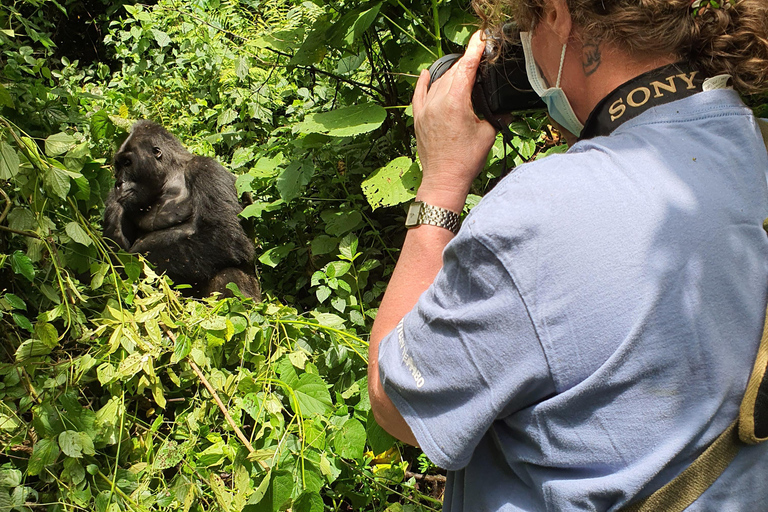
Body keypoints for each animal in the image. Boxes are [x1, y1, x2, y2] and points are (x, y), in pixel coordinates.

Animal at [102, 120, 260, 300]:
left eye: (128, 163)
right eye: (118, 166)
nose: (118, 183)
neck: (169, 176)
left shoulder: (206, 169)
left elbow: (224, 236)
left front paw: (135, 258)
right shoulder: (115, 199)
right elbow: (112, 255)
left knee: (228, 271)